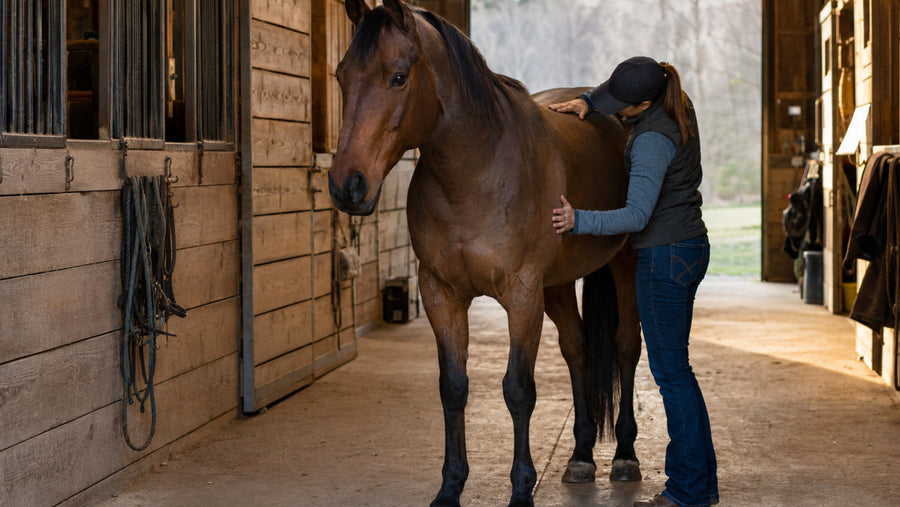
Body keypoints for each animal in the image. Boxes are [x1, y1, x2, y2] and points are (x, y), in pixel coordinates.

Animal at [329, 1, 642, 505]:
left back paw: (625, 456)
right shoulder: (441, 293)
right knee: (576, 349)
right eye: (342, 76)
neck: (476, 171)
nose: (347, 185)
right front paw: (450, 486)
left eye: (398, 76)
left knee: (626, 345)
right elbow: (453, 387)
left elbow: (518, 390)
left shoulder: (522, 295)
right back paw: (580, 457)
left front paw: (521, 488)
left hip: (623, 264)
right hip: (556, 286)